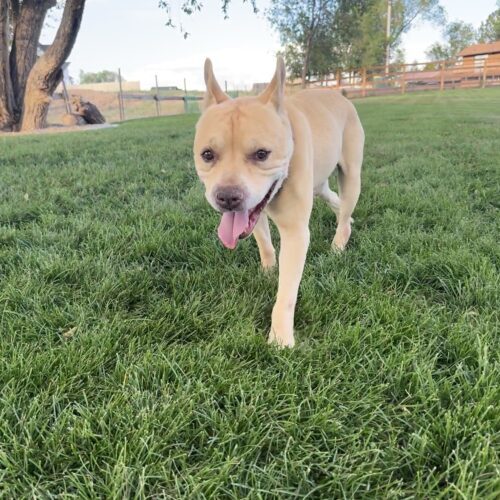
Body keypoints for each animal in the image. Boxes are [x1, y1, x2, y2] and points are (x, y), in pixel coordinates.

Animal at [194, 57, 364, 348]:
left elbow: (286, 292)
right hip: (319, 184)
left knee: (345, 208)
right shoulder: (253, 212)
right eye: (207, 154)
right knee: (334, 199)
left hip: (352, 175)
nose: (227, 197)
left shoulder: (295, 232)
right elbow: (264, 244)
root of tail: (339, 95)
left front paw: (280, 338)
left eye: (262, 154)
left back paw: (339, 244)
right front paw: (268, 270)